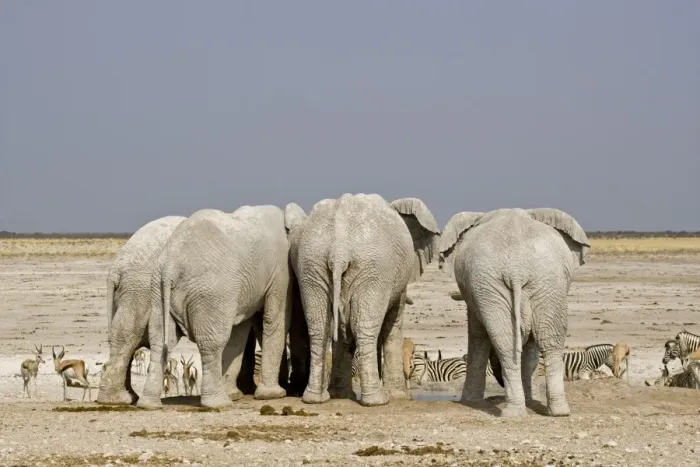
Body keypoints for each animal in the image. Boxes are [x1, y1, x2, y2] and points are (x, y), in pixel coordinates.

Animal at [97, 215, 186, 405]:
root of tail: (116, 268)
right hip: (141, 287)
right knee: (131, 333)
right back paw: (119, 399)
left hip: (131, 290)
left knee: (123, 335)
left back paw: (121, 398)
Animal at [136, 205, 296, 409]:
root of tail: (171, 265)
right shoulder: (281, 270)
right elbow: (276, 319)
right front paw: (273, 395)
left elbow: (240, 331)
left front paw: (237, 394)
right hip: (210, 292)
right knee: (212, 343)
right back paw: (218, 403)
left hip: (158, 290)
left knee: (160, 342)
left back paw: (148, 404)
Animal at [284, 193, 438, 406]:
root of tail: (338, 247)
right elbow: (393, 323)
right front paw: (399, 397)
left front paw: (341, 395)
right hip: (374, 269)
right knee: (364, 328)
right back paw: (377, 400)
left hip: (310, 264)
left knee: (319, 329)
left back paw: (315, 398)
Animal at [439, 208, 590, 418]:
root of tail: (516, 270)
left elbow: (478, 335)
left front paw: (470, 401)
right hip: (532, 283)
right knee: (545, 341)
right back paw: (550, 412)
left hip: (530, 282)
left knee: (516, 342)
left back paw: (524, 412)